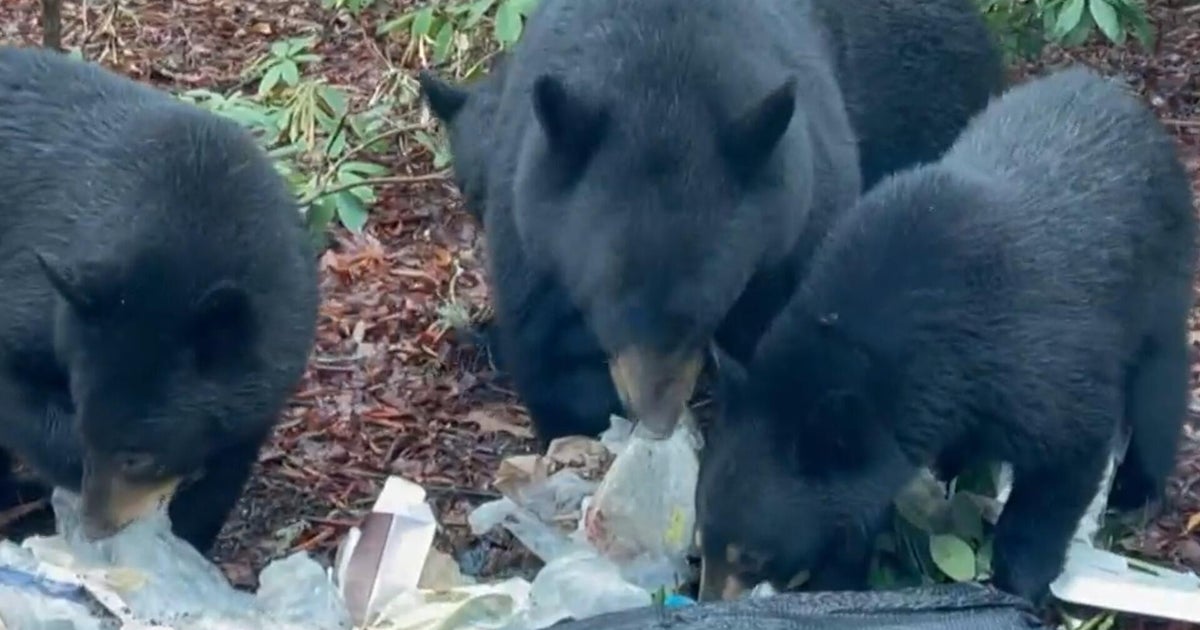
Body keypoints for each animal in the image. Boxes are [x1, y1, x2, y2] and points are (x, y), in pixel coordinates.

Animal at [0, 46, 320, 553]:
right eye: (86, 428)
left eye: (138, 454)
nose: (95, 526)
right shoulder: (38, 301)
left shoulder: (272, 368)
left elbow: (226, 468)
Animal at [429, 0, 1003, 444]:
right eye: (607, 310)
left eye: (704, 313)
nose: (656, 419)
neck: (659, 86)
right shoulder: (531, 216)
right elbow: (550, 347)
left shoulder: (803, 213)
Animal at [694, 65, 1197, 606]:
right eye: (703, 535)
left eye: (750, 556)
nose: (706, 599)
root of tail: (1123, 97)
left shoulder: (1032, 363)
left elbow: (1066, 457)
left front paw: (1018, 583)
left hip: (1161, 279)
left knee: (1159, 385)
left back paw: (1136, 492)